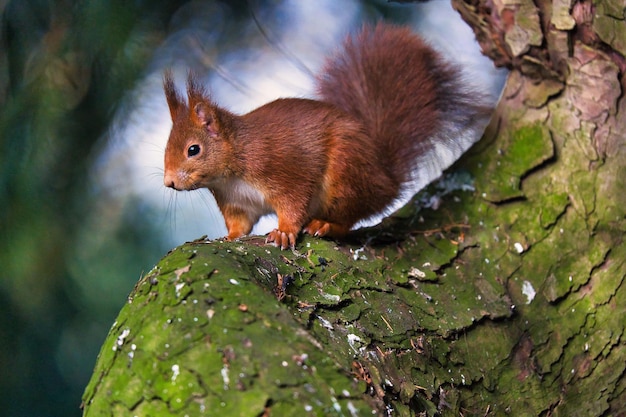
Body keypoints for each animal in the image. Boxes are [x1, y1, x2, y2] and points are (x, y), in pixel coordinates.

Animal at [162, 22, 488, 247]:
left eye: (193, 150)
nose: (169, 183)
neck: (233, 168)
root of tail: (386, 178)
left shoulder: (283, 169)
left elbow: (294, 202)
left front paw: (283, 232)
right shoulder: (237, 201)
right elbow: (240, 225)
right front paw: (228, 237)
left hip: (346, 175)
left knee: (349, 219)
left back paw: (325, 225)